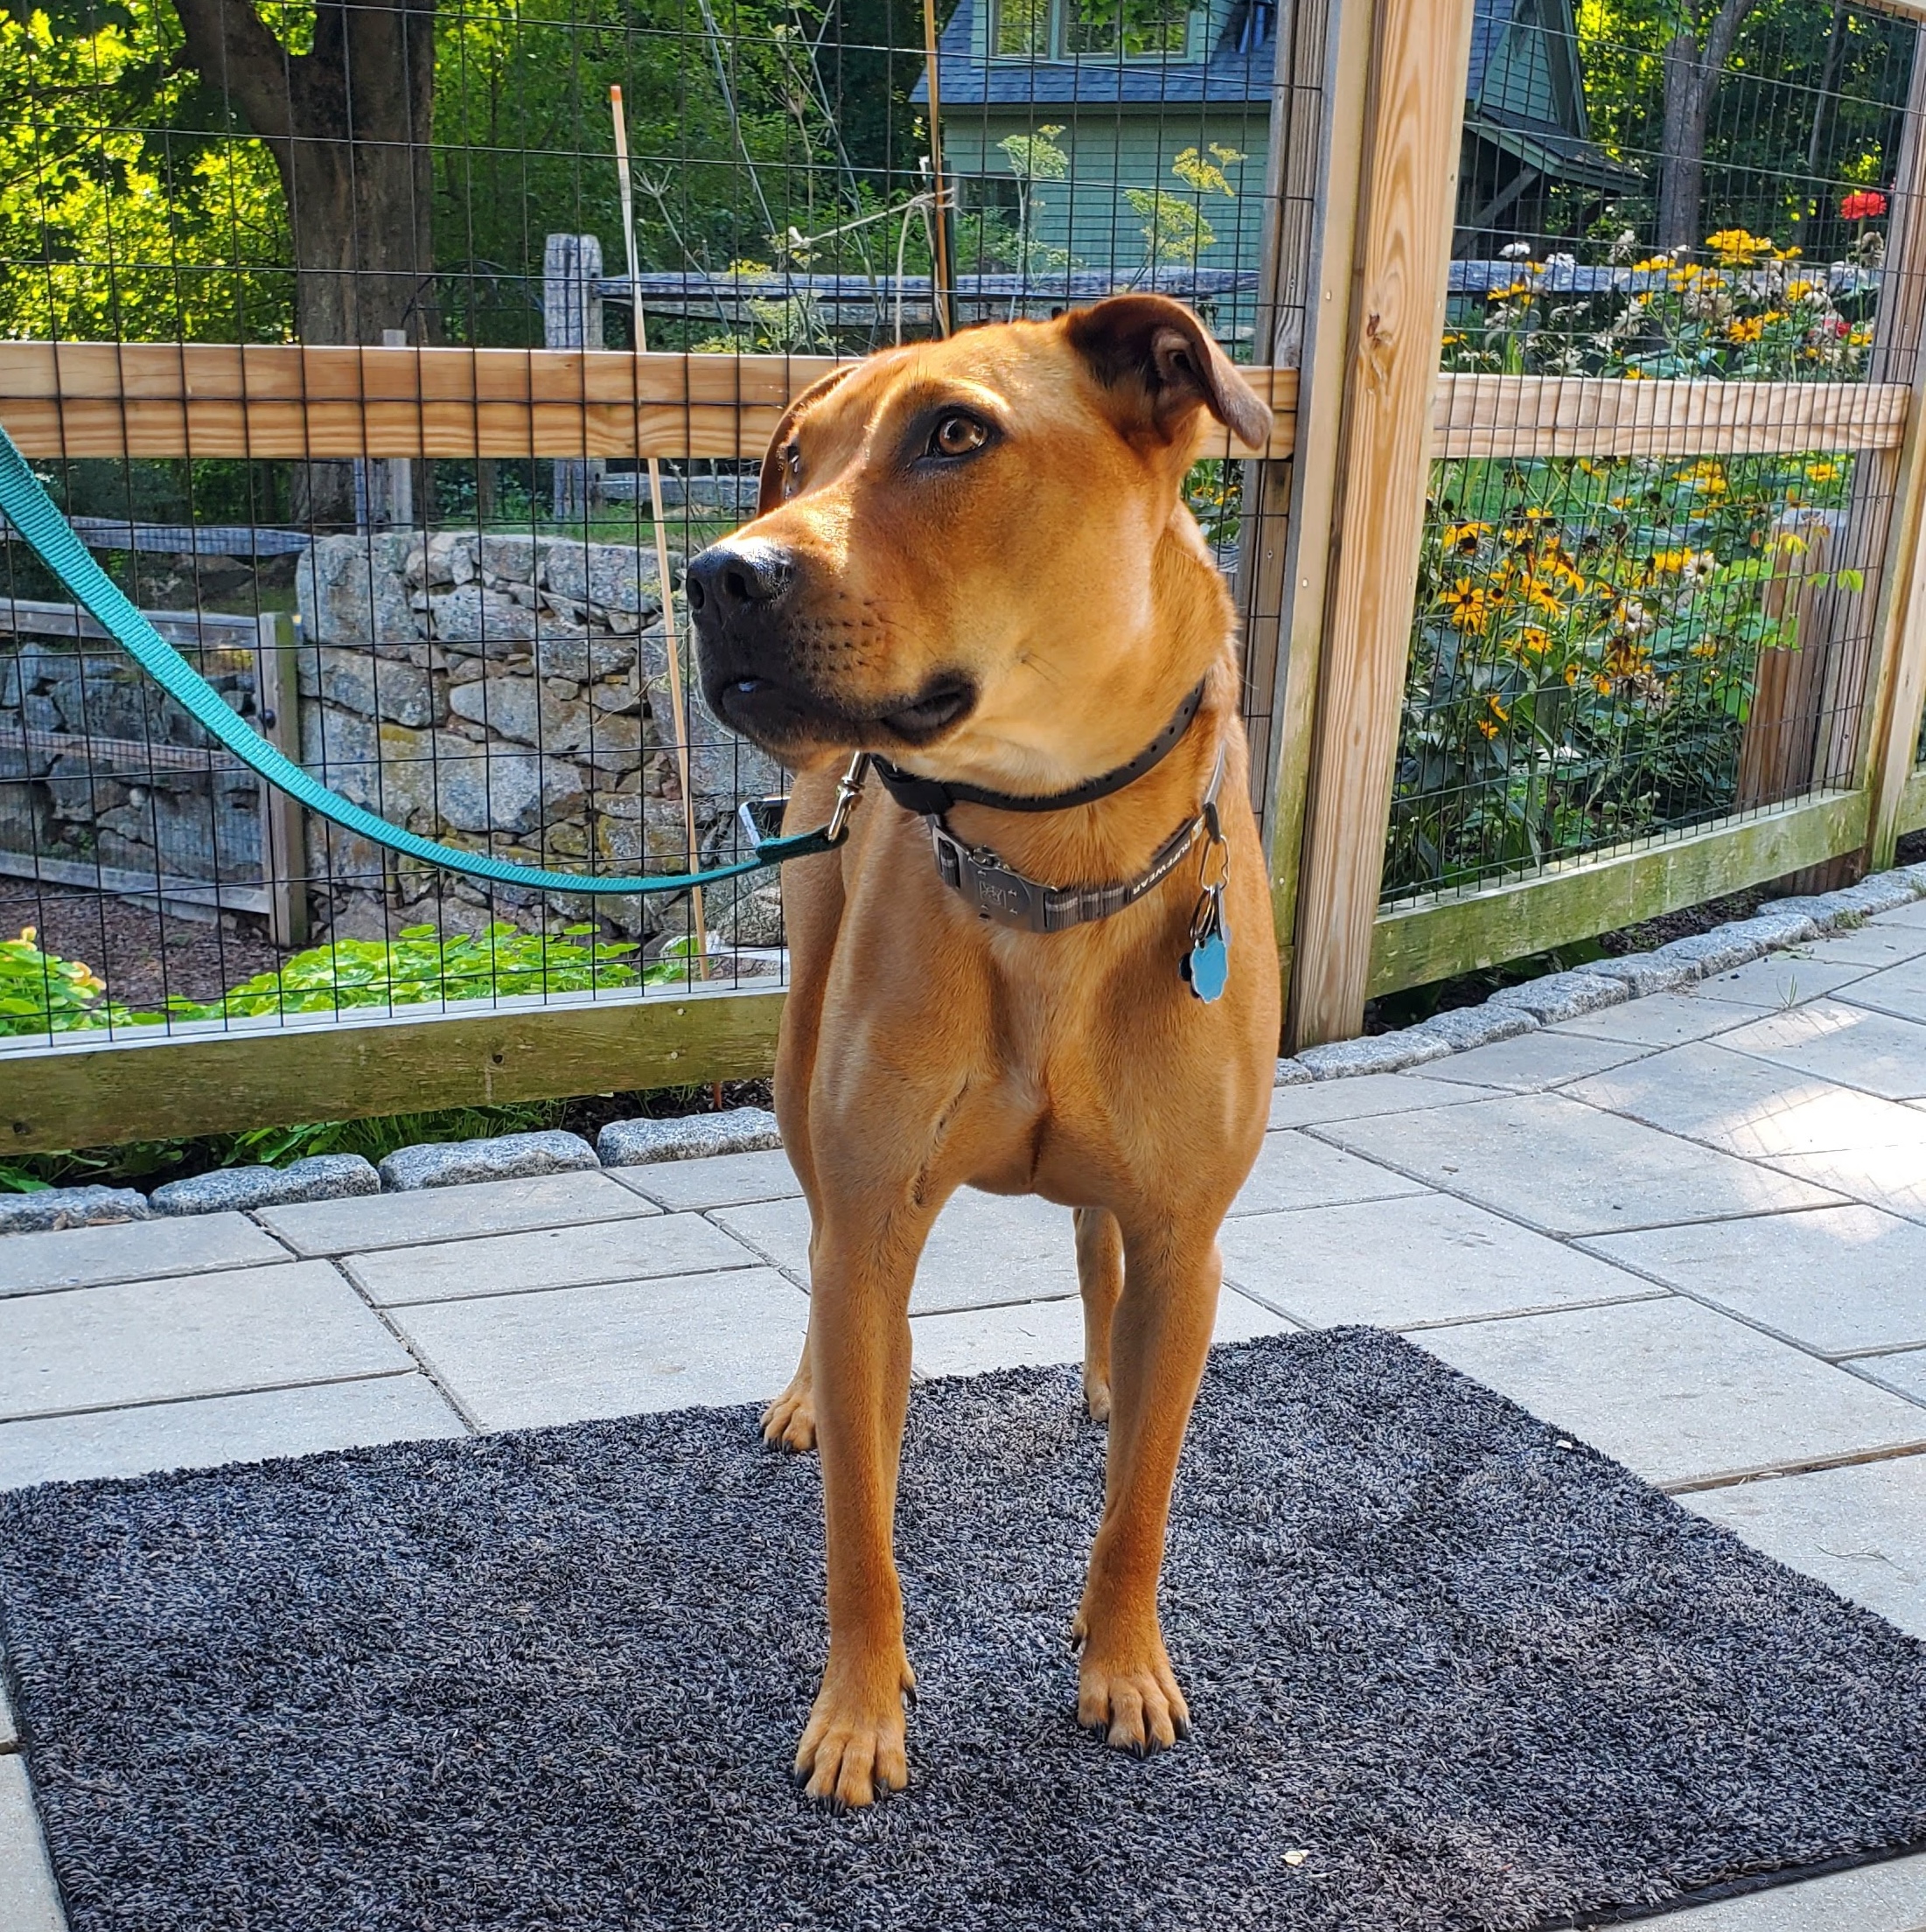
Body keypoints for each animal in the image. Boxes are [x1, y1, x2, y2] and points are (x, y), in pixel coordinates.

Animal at [687, 293, 1274, 1800]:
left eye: (955, 435)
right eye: (795, 456)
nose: (718, 574)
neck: (1048, 854)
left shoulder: (1188, 1236)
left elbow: (1141, 1503)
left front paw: (1121, 1662)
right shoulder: (873, 1223)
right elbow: (861, 1529)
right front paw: (859, 1714)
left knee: (1093, 1251)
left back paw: (1103, 1381)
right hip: (800, 1075)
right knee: (824, 1253)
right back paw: (820, 1396)